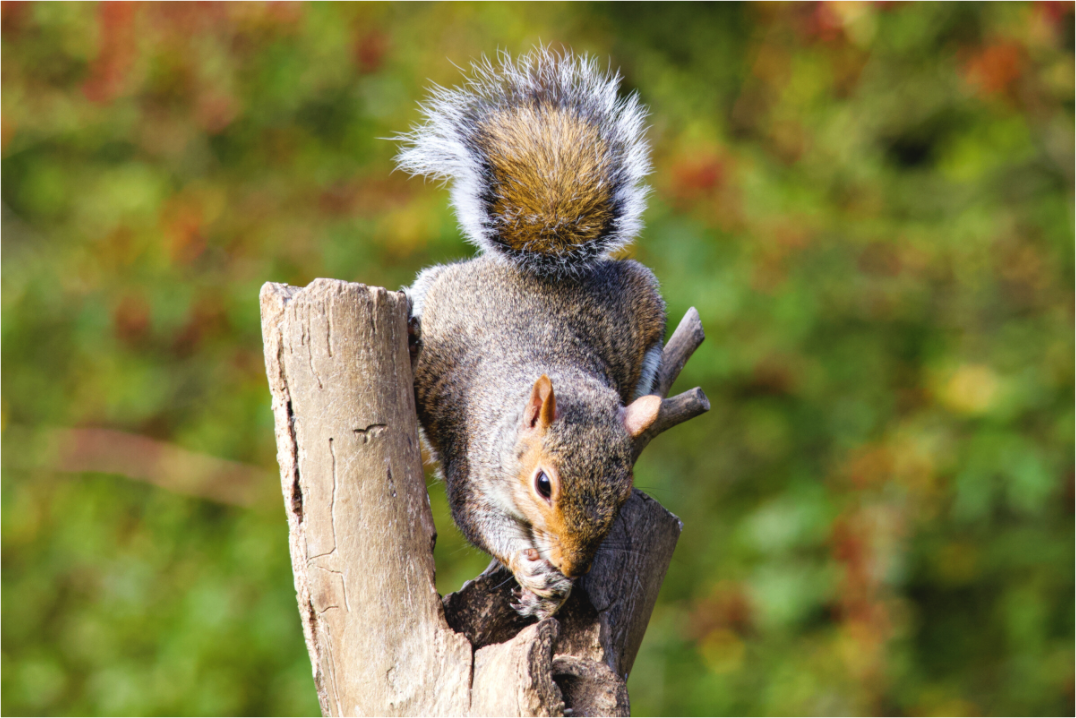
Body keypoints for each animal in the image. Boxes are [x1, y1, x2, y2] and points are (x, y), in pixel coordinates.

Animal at [396, 49, 667, 619]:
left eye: (623, 493)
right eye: (543, 484)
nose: (571, 565)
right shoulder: (474, 470)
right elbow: (483, 522)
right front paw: (530, 568)